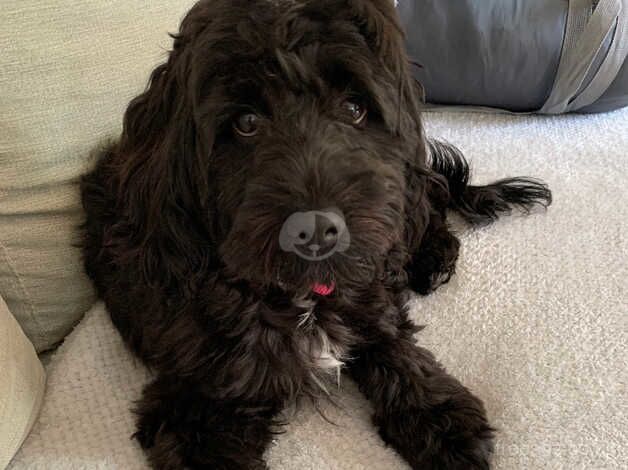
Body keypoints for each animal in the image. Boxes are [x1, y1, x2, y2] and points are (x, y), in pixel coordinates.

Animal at [79, 1, 548, 468]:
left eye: (355, 108)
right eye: (246, 121)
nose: (318, 231)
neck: (305, 296)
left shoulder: (371, 294)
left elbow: (394, 343)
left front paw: (440, 416)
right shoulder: (195, 408)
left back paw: (432, 256)